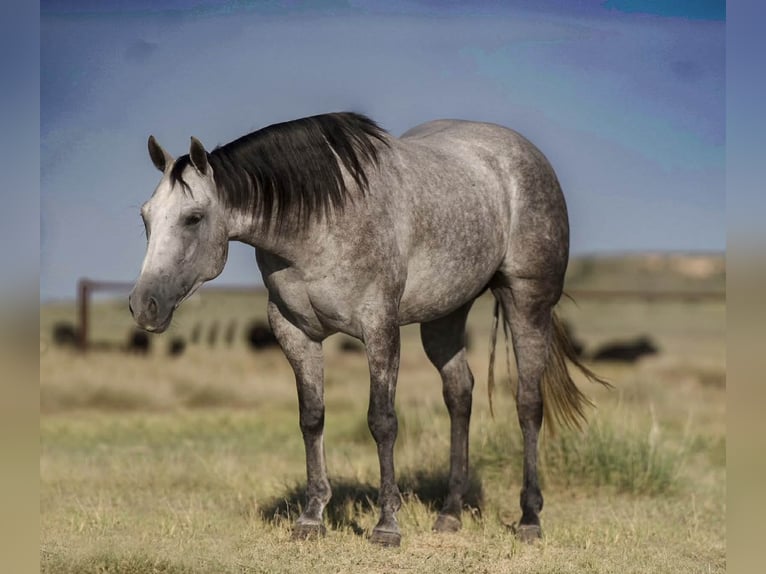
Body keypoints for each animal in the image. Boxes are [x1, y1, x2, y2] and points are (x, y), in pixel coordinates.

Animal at [129, 112, 608, 546]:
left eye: (193, 217)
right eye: (146, 217)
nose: (143, 305)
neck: (319, 221)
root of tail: (524, 154)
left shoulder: (379, 327)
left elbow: (382, 421)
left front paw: (387, 526)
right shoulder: (294, 332)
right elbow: (312, 418)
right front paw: (311, 518)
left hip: (526, 303)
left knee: (528, 403)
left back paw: (529, 519)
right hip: (444, 315)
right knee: (459, 394)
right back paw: (450, 513)